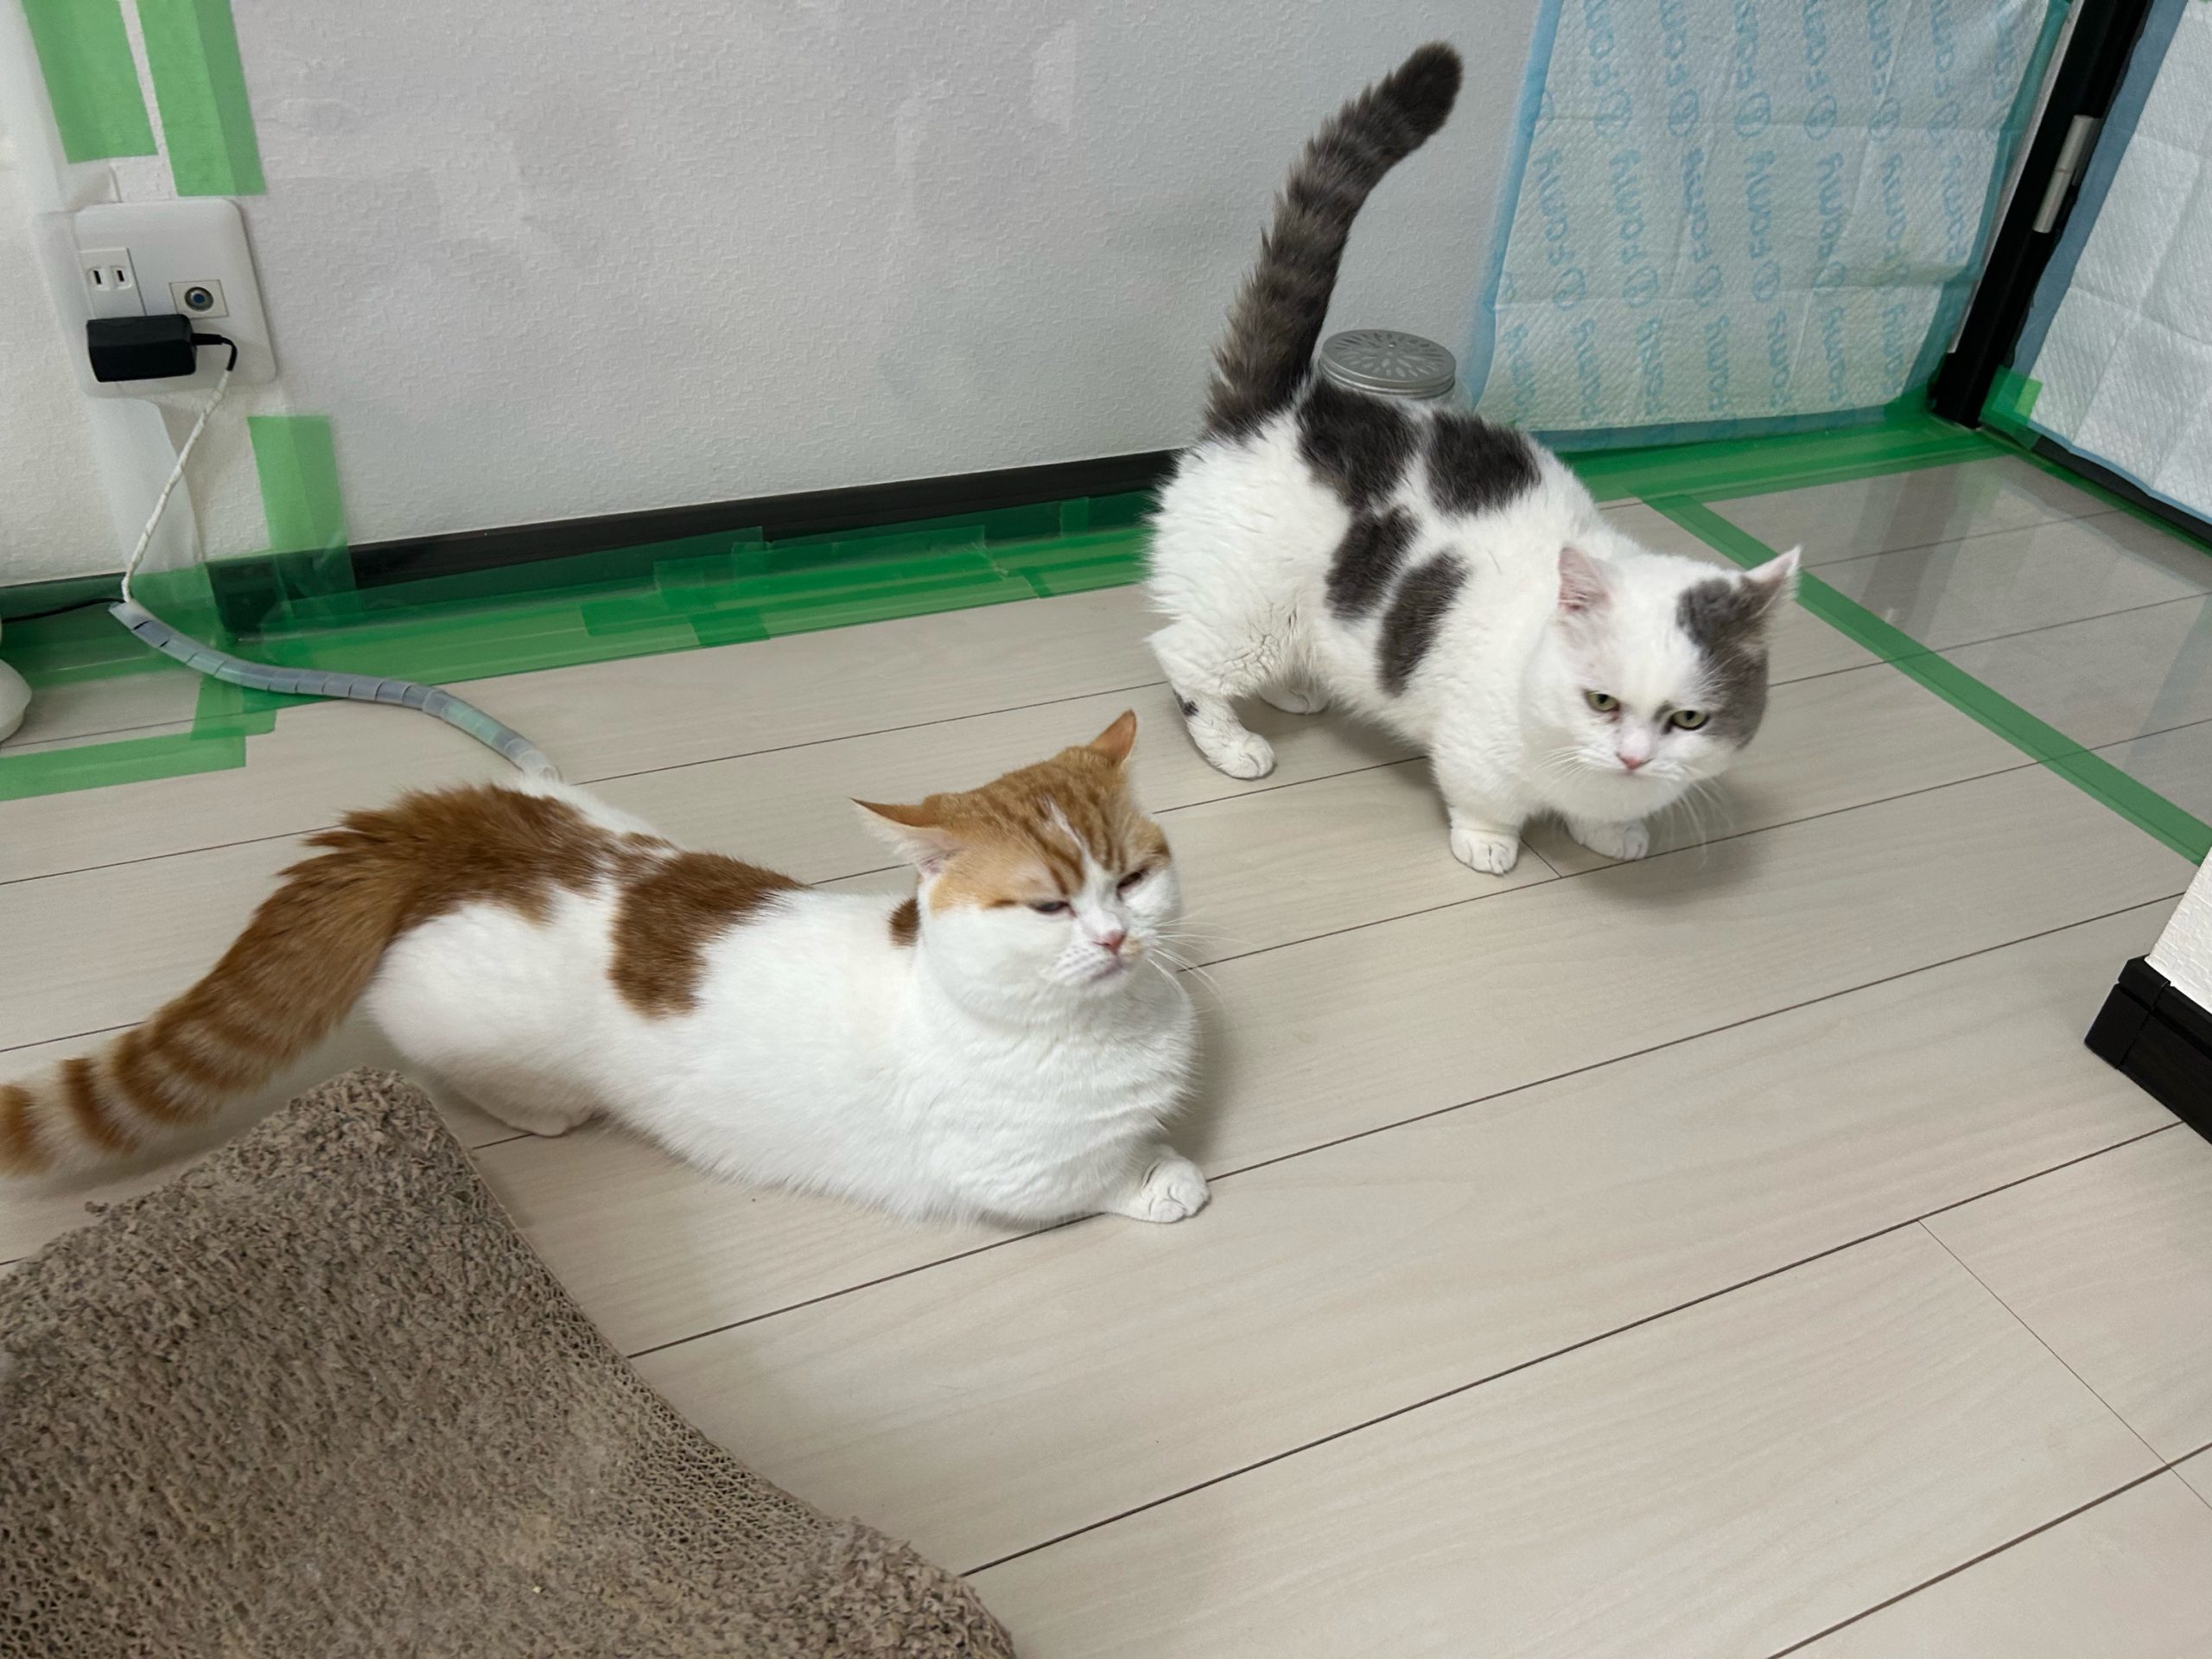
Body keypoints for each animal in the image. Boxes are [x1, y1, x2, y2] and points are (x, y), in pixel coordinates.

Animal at [0, 713, 1210, 1227]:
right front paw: (1165, 1178)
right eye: (1048, 905)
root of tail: (452, 831)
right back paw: (540, 1111)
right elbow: (1100, 1176)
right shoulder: (1017, 1175)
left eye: (1131, 878)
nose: (1115, 940)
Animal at [1145, 42, 1800, 874]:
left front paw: (1610, 833)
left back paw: (1298, 690)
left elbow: (1605, 817)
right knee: (1184, 656)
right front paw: (1492, 844)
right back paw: (1232, 742)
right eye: (1601, 700)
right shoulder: (1473, 746)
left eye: (1688, 719)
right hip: (1248, 612)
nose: (1634, 757)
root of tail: (1277, 412)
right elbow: (1484, 800)